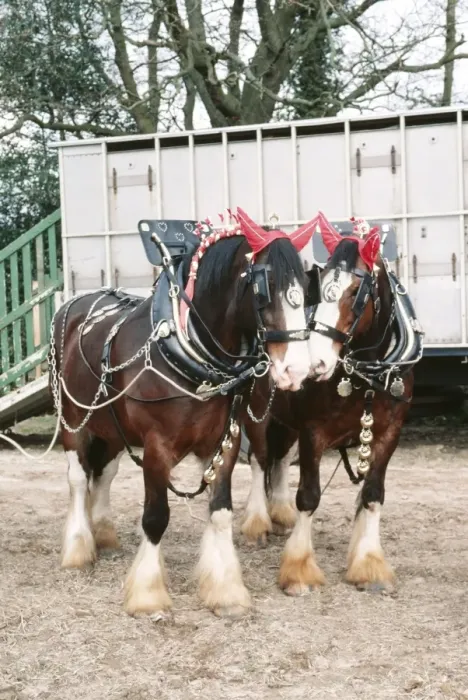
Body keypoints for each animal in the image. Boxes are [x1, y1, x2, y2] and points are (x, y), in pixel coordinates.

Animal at [49, 207, 322, 618]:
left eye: (306, 288)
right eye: (264, 286)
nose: (296, 369)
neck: (187, 347)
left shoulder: (224, 443)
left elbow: (221, 512)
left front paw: (225, 592)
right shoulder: (156, 447)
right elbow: (155, 517)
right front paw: (147, 596)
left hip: (111, 429)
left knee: (105, 475)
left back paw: (104, 535)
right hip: (75, 422)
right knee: (79, 479)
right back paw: (79, 549)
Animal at [242, 216, 423, 595]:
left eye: (356, 293)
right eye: (319, 285)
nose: (317, 363)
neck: (368, 372)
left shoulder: (390, 432)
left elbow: (372, 494)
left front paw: (369, 564)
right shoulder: (314, 432)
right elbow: (309, 496)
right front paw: (298, 570)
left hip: (285, 421)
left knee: (280, 459)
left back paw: (280, 514)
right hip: (257, 413)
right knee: (259, 459)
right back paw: (257, 523)